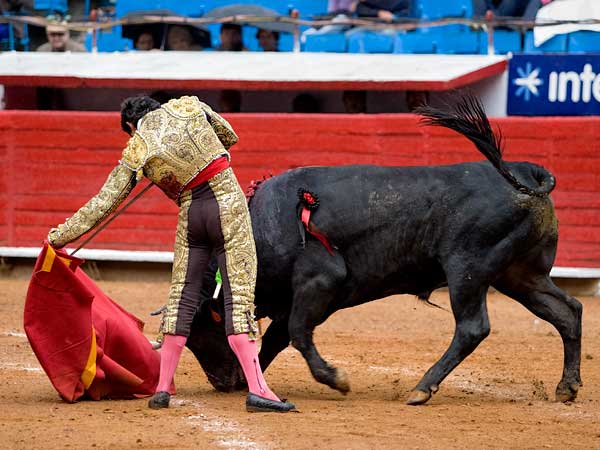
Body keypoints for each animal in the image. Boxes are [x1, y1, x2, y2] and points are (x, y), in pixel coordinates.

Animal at [183, 95, 580, 404]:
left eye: (200, 334)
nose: (223, 383)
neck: (266, 226)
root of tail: (524, 174)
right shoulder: (308, 296)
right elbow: (279, 337)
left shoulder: (319, 283)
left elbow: (295, 333)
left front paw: (336, 379)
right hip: (520, 275)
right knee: (567, 311)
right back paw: (567, 387)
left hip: (467, 270)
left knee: (472, 328)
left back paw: (422, 388)